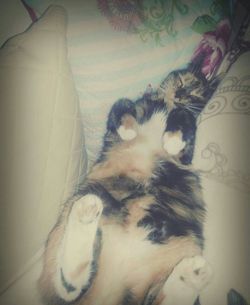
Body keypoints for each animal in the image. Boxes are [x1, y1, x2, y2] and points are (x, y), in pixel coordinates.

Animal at [38, 91, 212, 304]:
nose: (176, 96)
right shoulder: (113, 132)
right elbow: (122, 106)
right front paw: (130, 129)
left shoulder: (184, 158)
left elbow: (185, 117)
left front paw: (172, 140)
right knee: (68, 289)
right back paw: (85, 212)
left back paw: (192, 275)